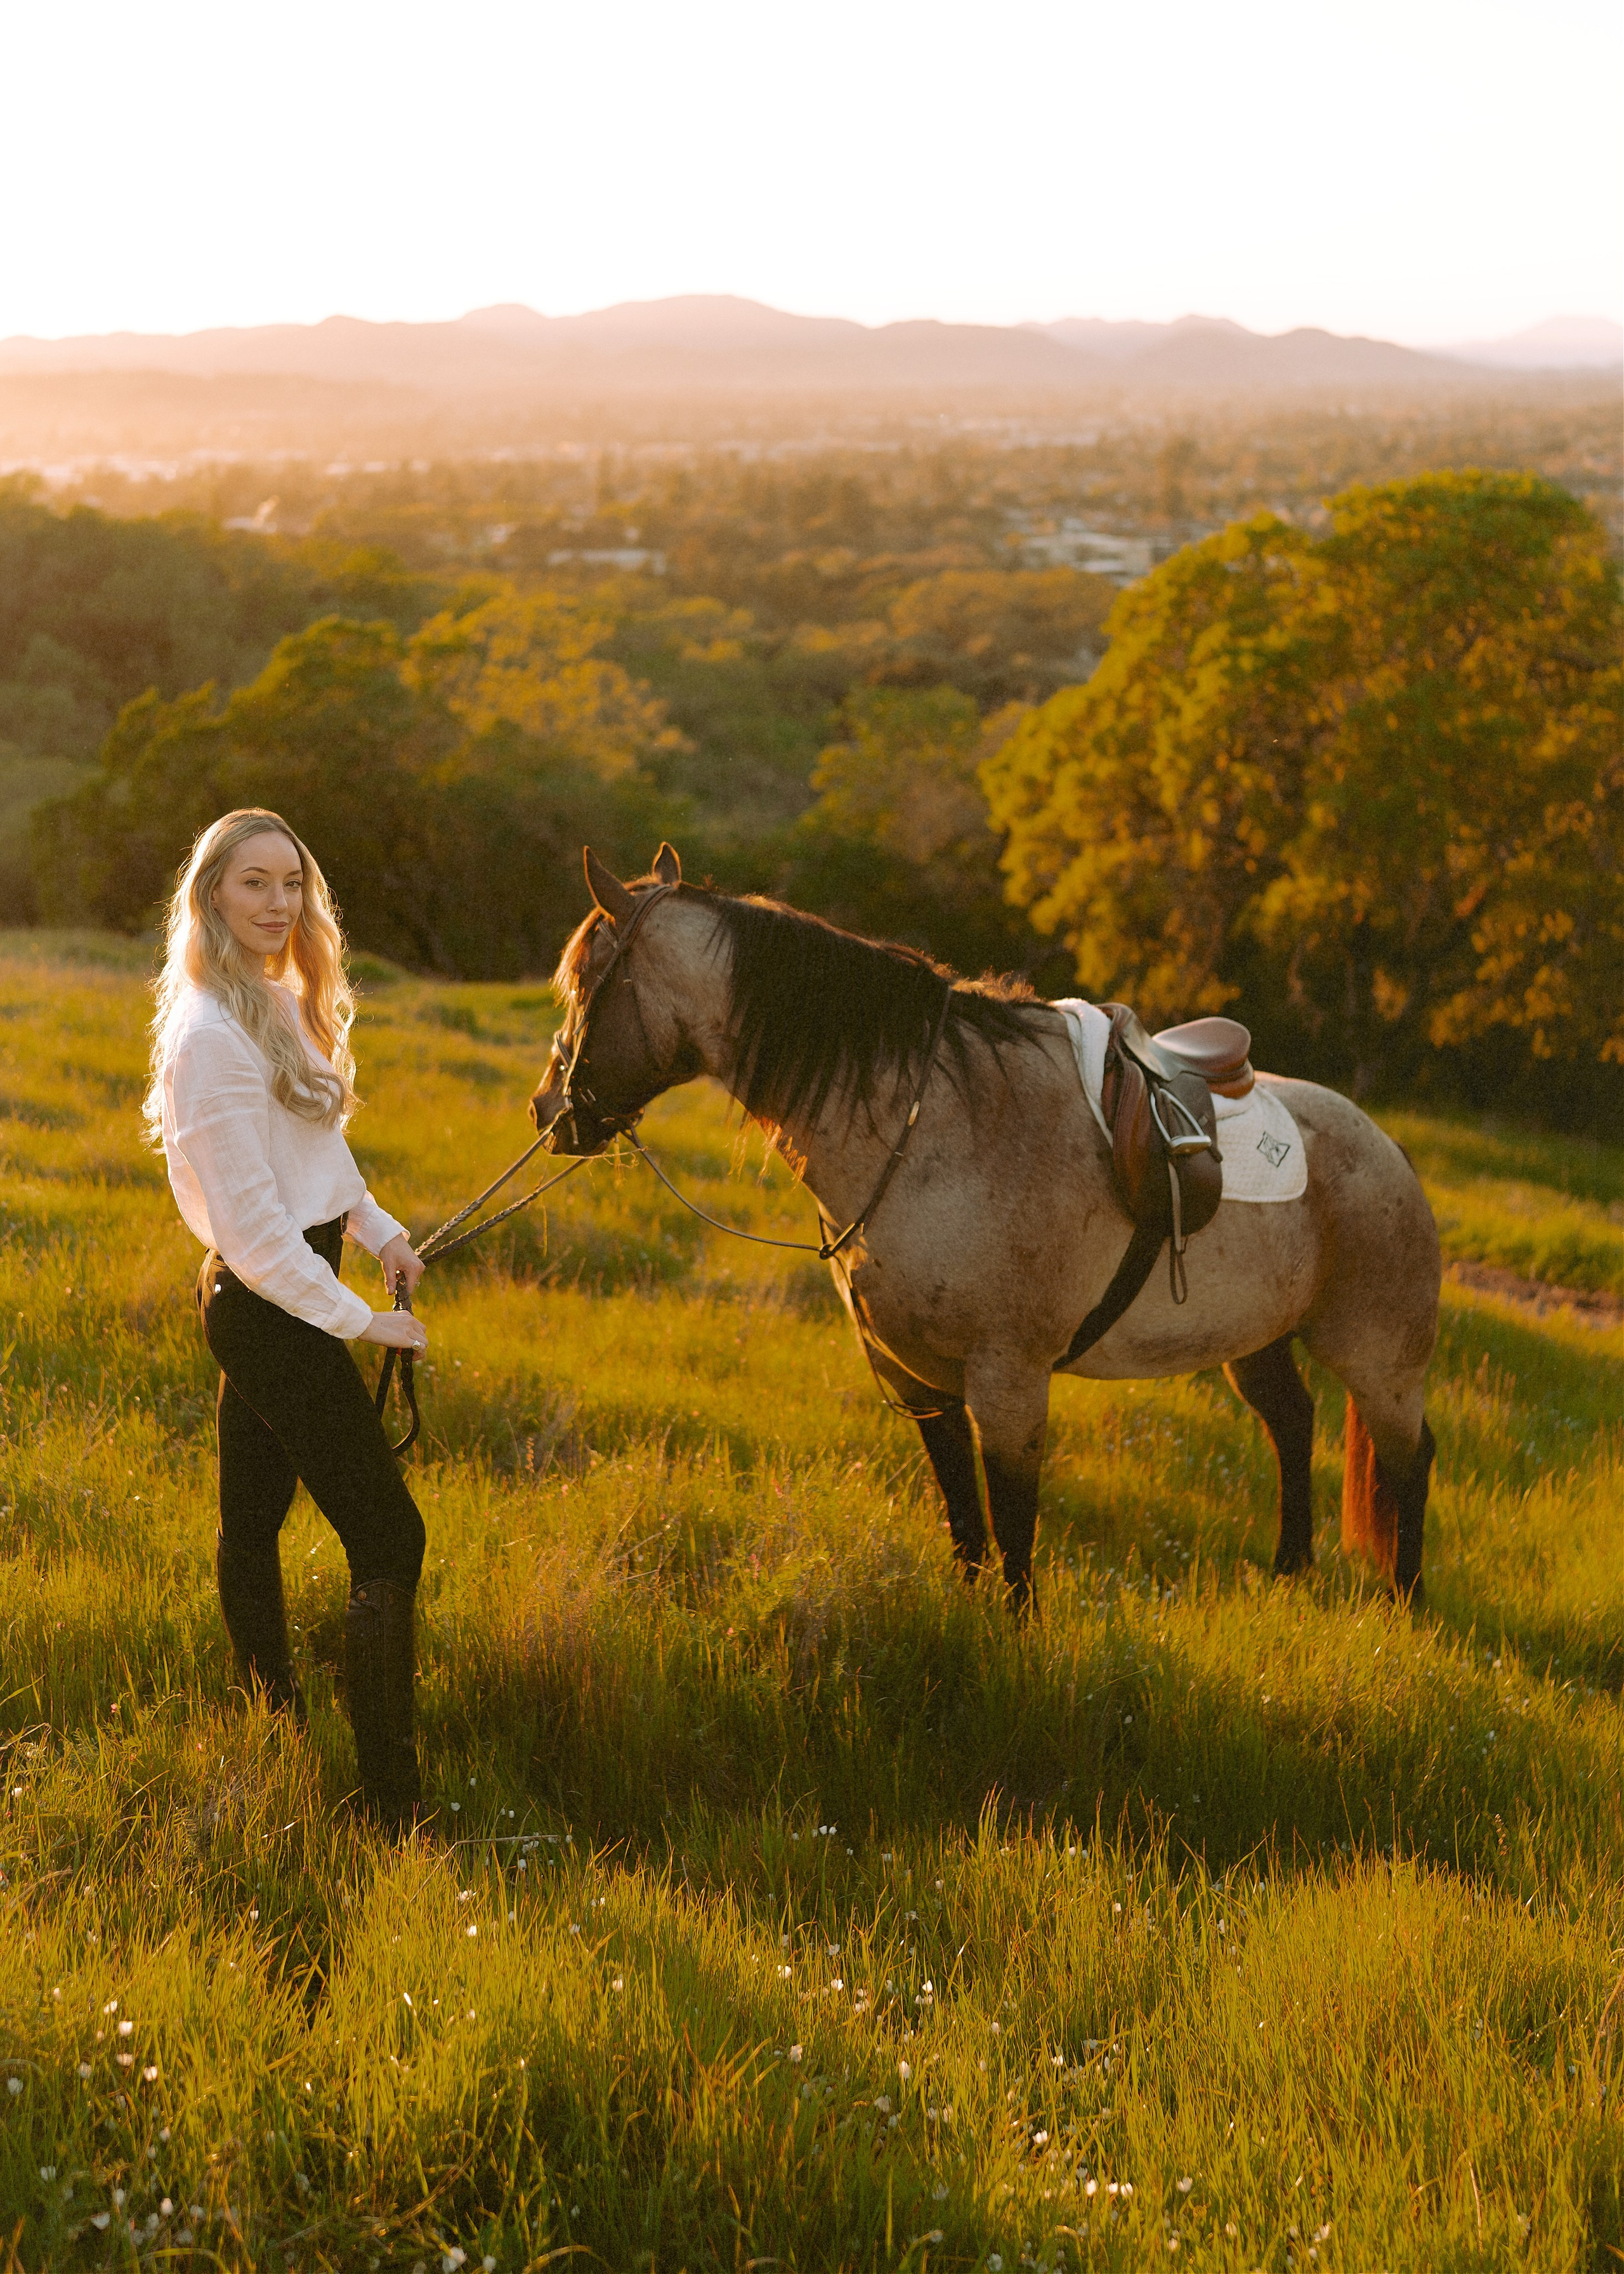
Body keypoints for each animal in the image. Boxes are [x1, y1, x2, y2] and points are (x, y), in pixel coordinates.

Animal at [530, 844, 1441, 1612]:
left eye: (581, 987)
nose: (548, 1110)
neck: (929, 1126)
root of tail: (1386, 1147)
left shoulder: (1008, 1382)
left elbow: (1014, 1529)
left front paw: (1014, 1639)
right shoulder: (918, 1379)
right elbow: (964, 1516)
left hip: (1378, 1360)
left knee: (1409, 1456)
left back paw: (1403, 1603)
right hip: (1257, 1342)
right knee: (1293, 1425)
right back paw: (1291, 1572)